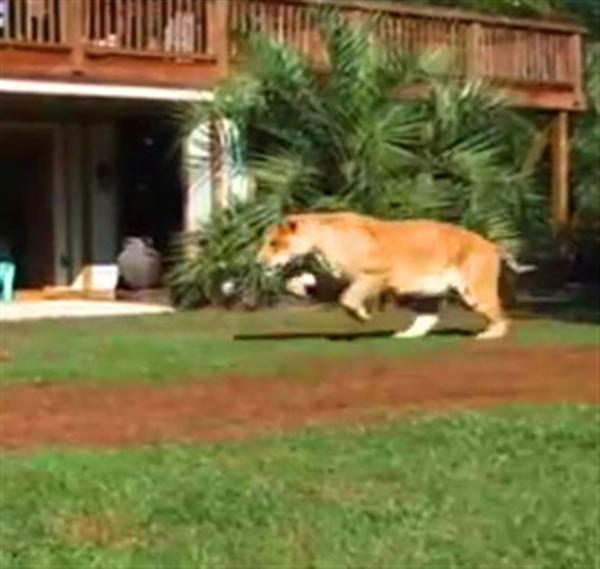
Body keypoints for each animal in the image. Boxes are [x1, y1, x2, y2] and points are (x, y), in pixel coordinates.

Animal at [255, 212, 532, 338]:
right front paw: (296, 285)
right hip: (427, 292)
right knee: (428, 318)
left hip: (473, 290)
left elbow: (347, 298)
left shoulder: (374, 275)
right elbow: (322, 287)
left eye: (274, 243)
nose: (258, 261)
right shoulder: (336, 277)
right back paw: (406, 336)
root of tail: (491, 244)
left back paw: (488, 336)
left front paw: (361, 316)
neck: (318, 242)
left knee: (502, 316)